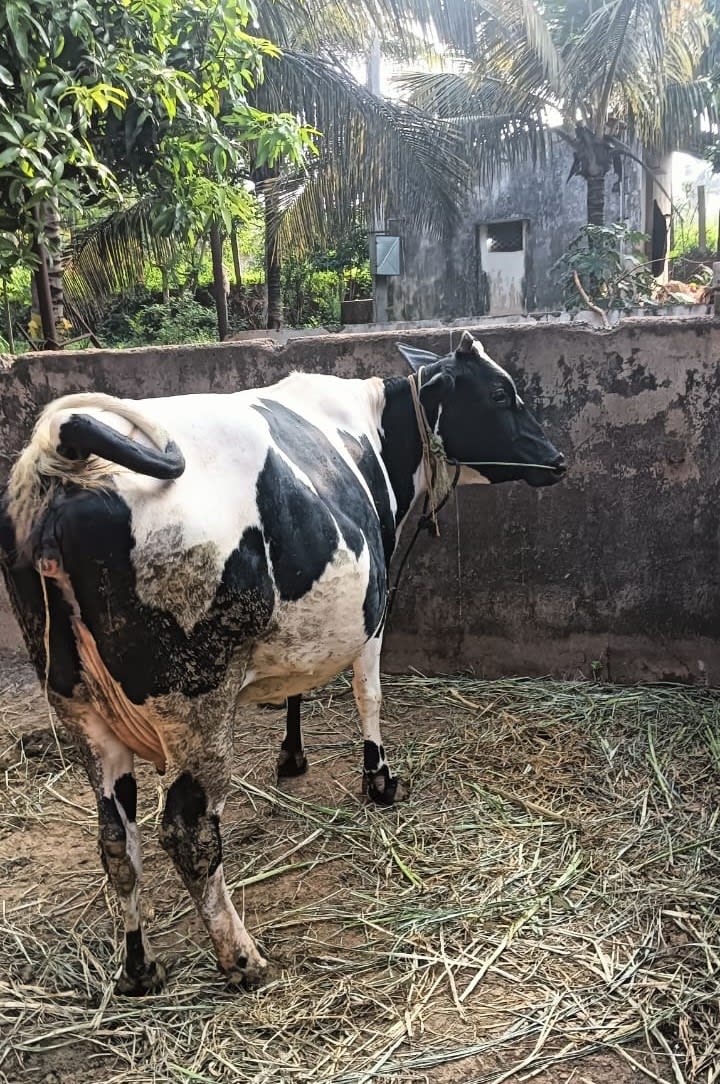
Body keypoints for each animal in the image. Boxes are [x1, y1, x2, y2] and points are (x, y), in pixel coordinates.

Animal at [0, 331, 565, 995]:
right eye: (502, 394)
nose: (557, 460)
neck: (374, 432)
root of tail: (64, 453)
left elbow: (300, 685)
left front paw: (291, 756)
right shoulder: (372, 609)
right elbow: (368, 695)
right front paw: (380, 781)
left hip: (79, 708)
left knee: (118, 840)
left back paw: (140, 968)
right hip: (196, 702)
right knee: (187, 831)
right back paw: (241, 958)